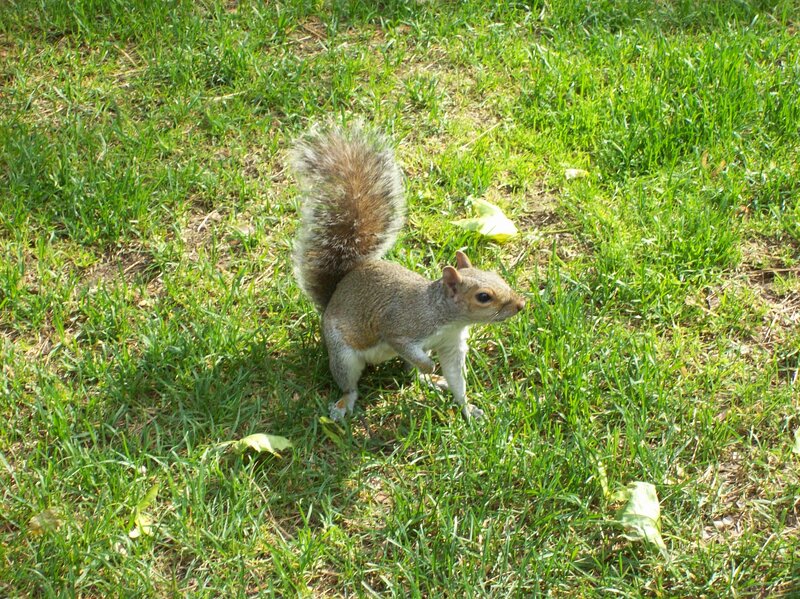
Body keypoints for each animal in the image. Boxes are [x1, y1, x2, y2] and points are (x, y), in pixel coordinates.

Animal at [290, 122, 525, 422]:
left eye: (497, 276)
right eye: (483, 297)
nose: (520, 305)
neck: (444, 315)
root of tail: (334, 295)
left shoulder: (450, 345)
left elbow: (455, 377)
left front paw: (467, 408)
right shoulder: (400, 329)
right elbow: (403, 342)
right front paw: (429, 367)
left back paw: (430, 382)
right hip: (342, 355)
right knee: (349, 384)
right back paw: (345, 404)